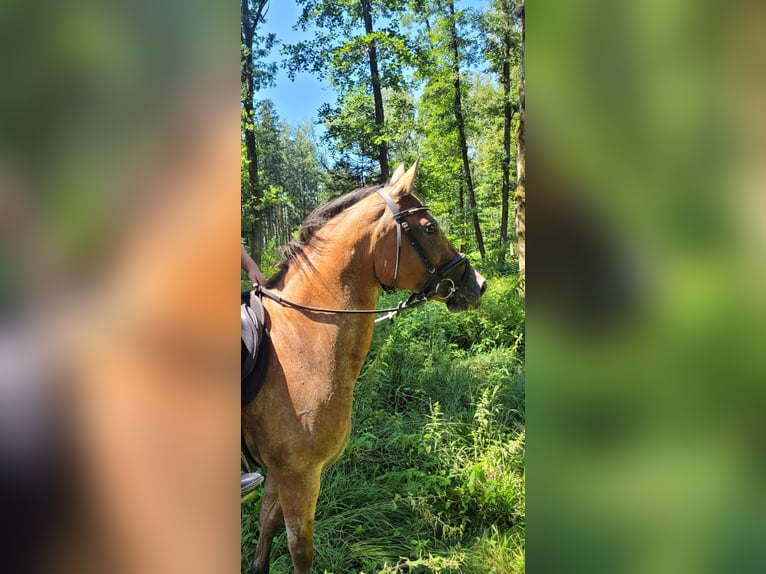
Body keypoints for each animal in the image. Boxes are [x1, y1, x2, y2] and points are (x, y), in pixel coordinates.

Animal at [243, 160, 488, 572]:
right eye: (430, 228)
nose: (477, 284)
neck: (302, 338)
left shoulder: (280, 473)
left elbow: (266, 530)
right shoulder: (300, 475)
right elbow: (300, 550)